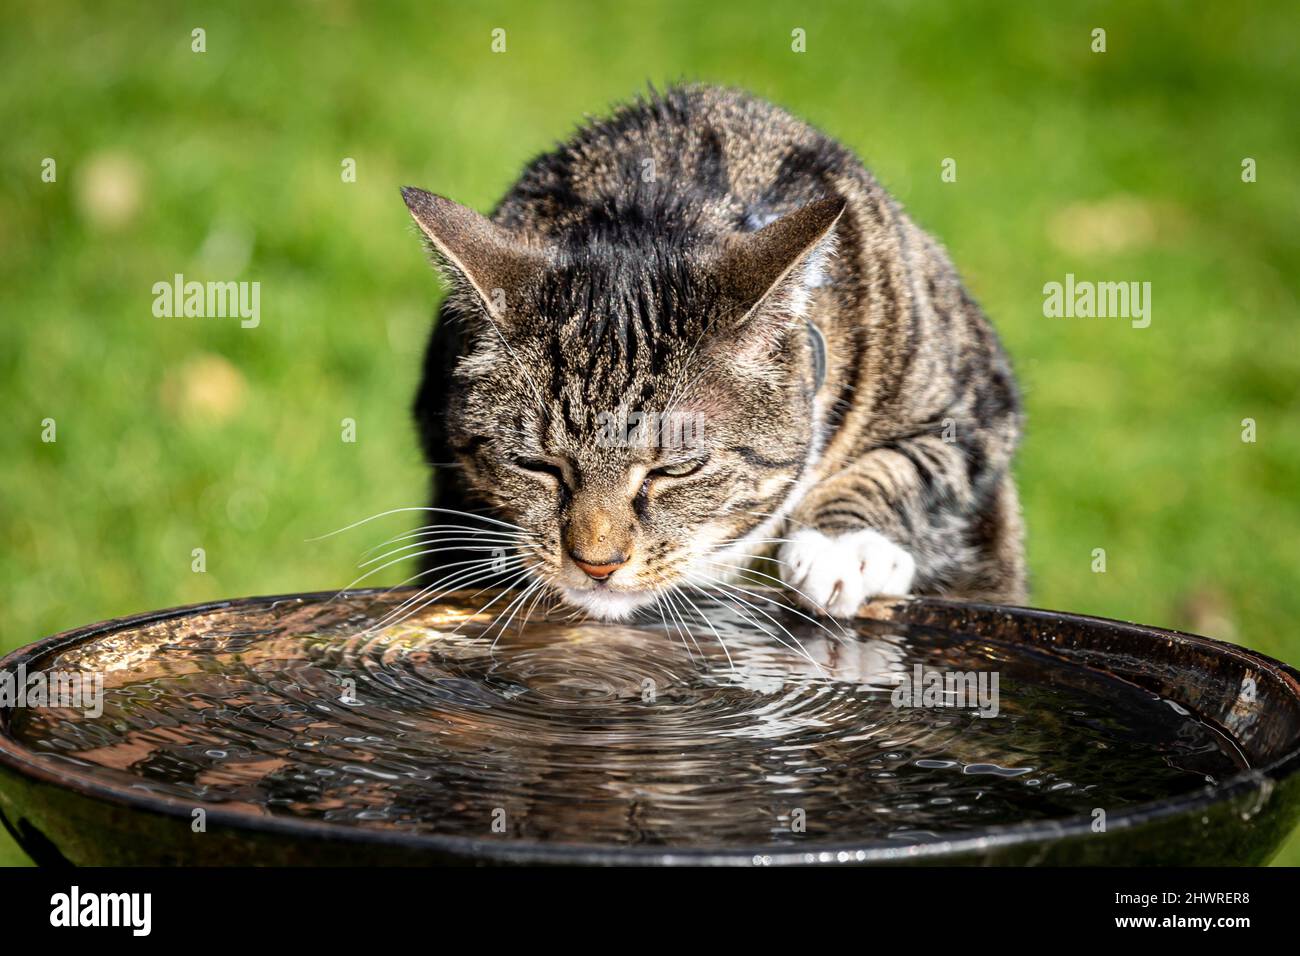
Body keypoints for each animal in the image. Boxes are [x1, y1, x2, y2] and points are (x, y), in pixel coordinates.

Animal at [400, 85, 1019, 624]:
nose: (597, 564)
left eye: (677, 470)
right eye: (536, 465)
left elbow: (908, 465)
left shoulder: (977, 403)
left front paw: (841, 546)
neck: (659, 203)